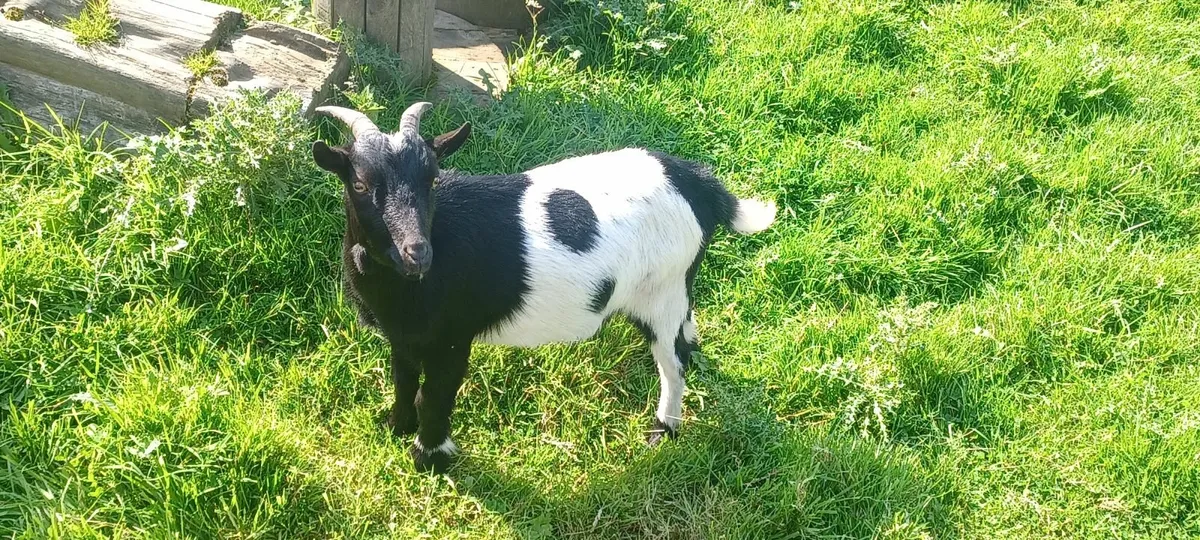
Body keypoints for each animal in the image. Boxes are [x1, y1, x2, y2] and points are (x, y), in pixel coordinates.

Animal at [311, 102, 777, 473]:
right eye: (359, 184)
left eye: (433, 180)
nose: (418, 254)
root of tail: (695, 182)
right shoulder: (405, 335)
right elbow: (404, 380)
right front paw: (396, 427)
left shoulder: (452, 337)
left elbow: (435, 393)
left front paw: (430, 457)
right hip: (674, 288)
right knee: (685, 331)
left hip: (662, 290)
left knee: (673, 361)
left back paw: (663, 430)